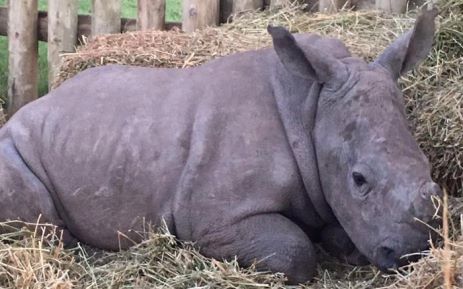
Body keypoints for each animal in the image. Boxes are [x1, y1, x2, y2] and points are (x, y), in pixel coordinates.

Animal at [0, 7, 442, 282]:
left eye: (430, 172)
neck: (310, 108)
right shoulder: (211, 218)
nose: (410, 254)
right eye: (359, 179)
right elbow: (295, 250)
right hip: (14, 148)